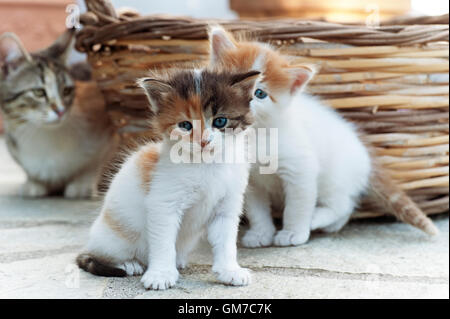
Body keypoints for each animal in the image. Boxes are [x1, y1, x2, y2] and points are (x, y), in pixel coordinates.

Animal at [0, 30, 116, 200]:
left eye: (66, 90)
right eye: (39, 92)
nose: (60, 110)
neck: (43, 133)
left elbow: (95, 164)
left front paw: (83, 184)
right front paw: (34, 182)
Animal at [76, 67, 260, 290]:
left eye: (220, 121)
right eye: (185, 125)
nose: (203, 141)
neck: (206, 165)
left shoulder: (227, 205)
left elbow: (226, 241)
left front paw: (230, 271)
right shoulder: (164, 204)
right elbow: (163, 242)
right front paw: (160, 274)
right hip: (114, 237)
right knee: (100, 254)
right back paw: (129, 264)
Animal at [209, 26, 438, 248]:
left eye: (259, 93)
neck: (254, 135)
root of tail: (367, 158)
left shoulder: (300, 169)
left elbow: (297, 206)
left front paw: (293, 233)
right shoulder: (250, 181)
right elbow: (257, 210)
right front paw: (260, 233)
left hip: (335, 176)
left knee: (342, 204)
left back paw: (316, 219)